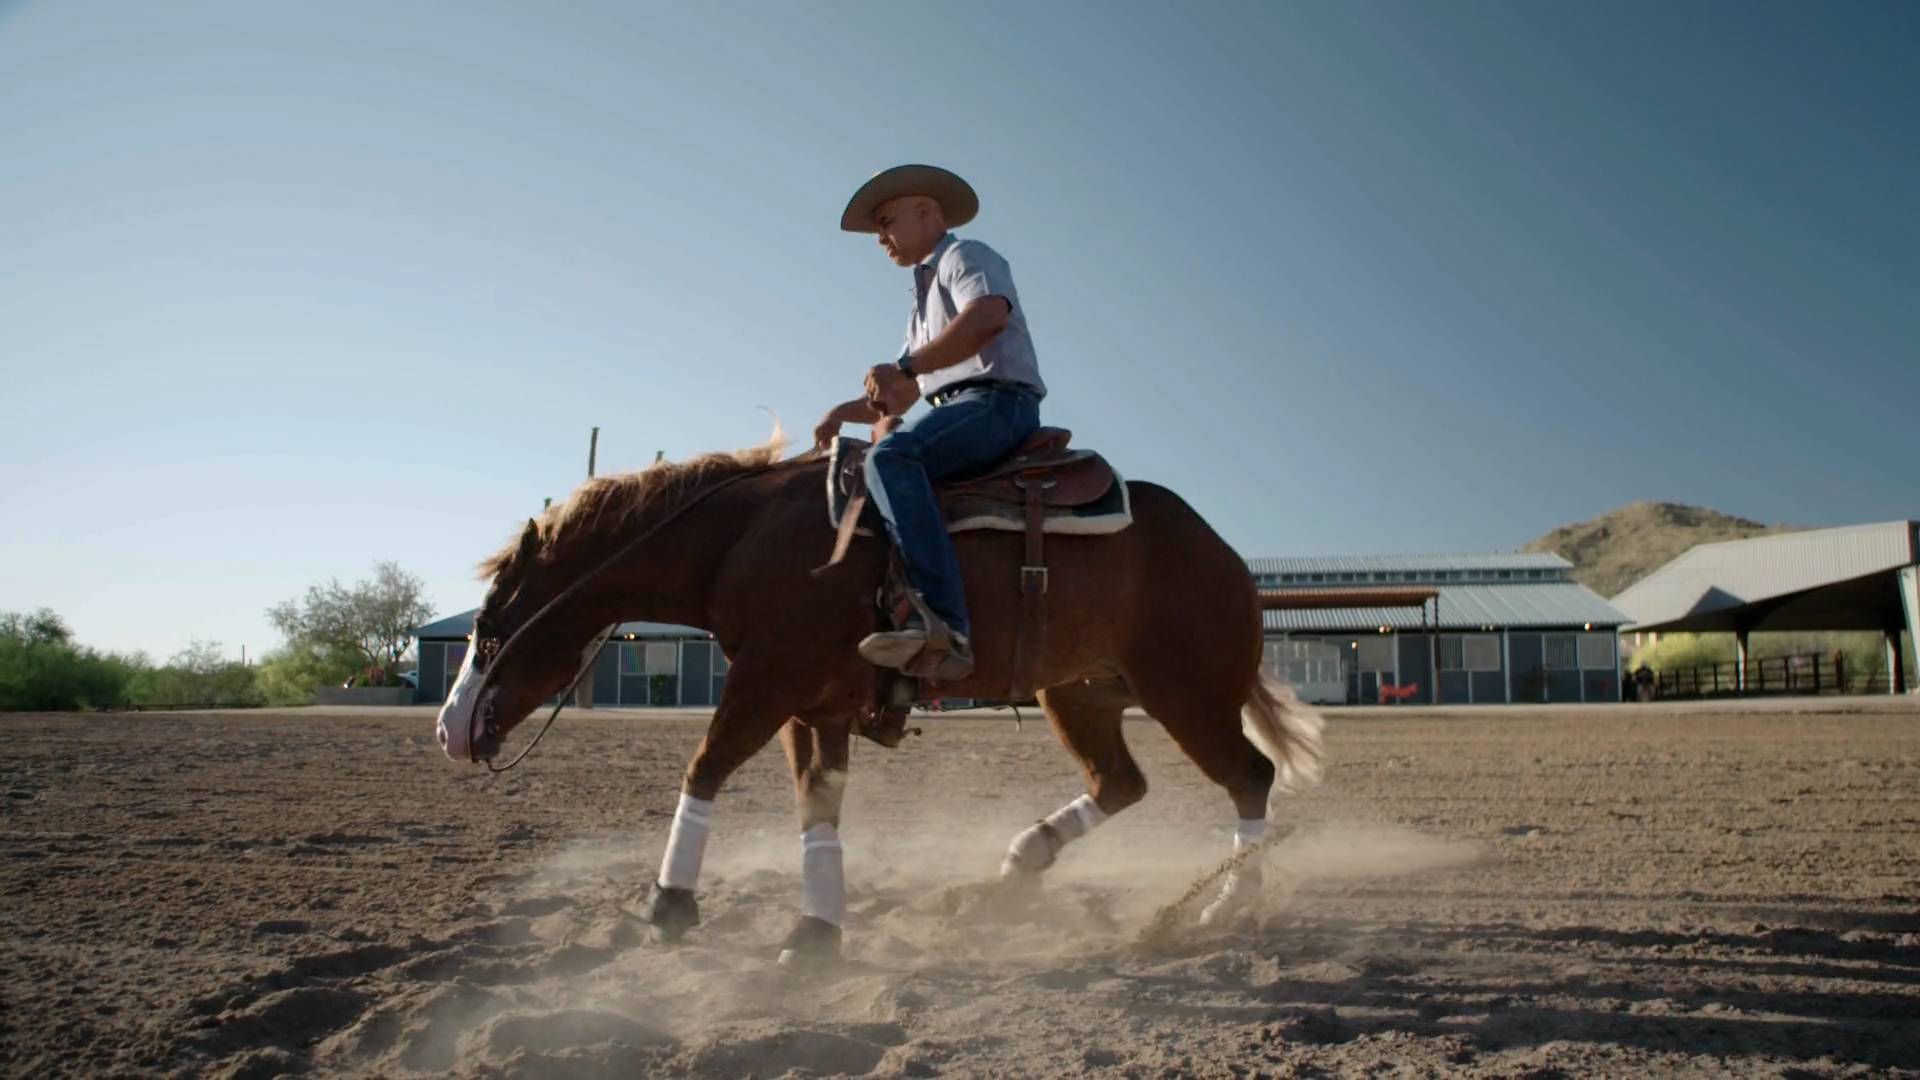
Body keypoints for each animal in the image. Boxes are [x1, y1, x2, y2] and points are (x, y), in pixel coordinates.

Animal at [432, 441, 1320, 960]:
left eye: (493, 618)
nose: (449, 729)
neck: (749, 540)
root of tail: (1223, 552)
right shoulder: (814, 705)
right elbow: (818, 805)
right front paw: (815, 931)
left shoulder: (770, 681)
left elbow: (704, 767)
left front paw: (669, 903)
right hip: (1078, 693)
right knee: (1121, 783)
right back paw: (1017, 863)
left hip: (1186, 692)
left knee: (1248, 779)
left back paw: (1223, 907)